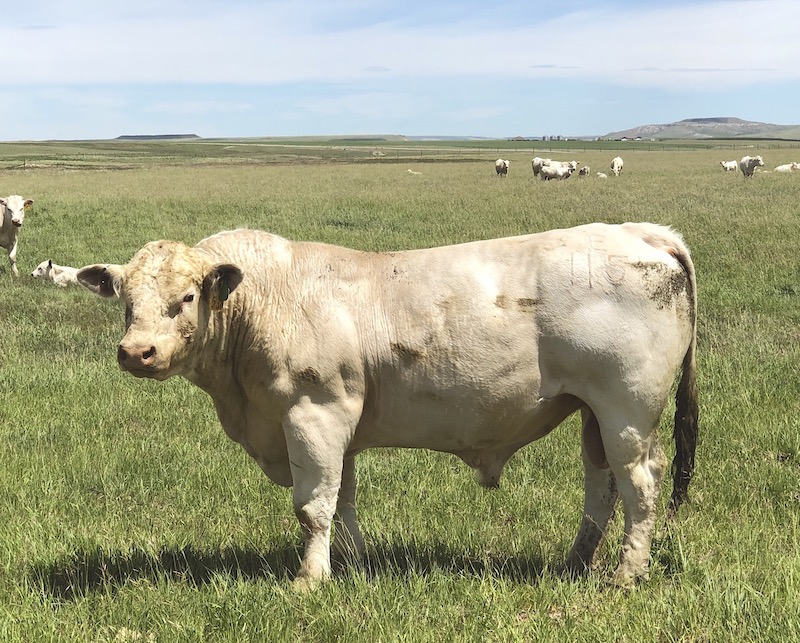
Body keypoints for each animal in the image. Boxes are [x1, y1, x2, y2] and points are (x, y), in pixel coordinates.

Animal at [78, 224, 696, 592]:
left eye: (185, 298)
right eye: (126, 301)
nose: (136, 352)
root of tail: (641, 232)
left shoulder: (313, 414)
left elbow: (313, 507)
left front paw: (309, 580)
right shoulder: (336, 426)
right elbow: (343, 502)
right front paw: (355, 564)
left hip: (626, 412)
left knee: (639, 487)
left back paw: (625, 574)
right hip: (592, 412)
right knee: (601, 486)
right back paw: (575, 562)